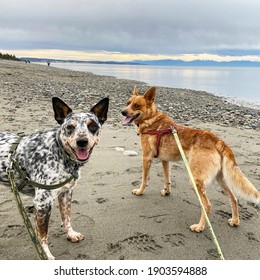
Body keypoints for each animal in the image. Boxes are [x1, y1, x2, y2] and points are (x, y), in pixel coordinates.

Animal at [0, 97, 108, 260]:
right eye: (69, 127)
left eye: (93, 126)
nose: (82, 141)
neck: (59, 152)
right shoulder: (42, 202)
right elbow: (43, 234)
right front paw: (45, 255)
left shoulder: (66, 192)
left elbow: (66, 217)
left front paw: (71, 234)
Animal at [122, 86, 260, 233]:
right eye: (128, 102)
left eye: (136, 105)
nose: (122, 112)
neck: (151, 119)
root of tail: (217, 140)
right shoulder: (165, 161)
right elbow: (167, 179)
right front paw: (167, 191)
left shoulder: (146, 158)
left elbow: (144, 179)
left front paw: (140, 191)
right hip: (221, 179)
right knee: (233, 198)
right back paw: (235, 221)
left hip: (196, 180)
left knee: (207, 205)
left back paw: (200, 227)